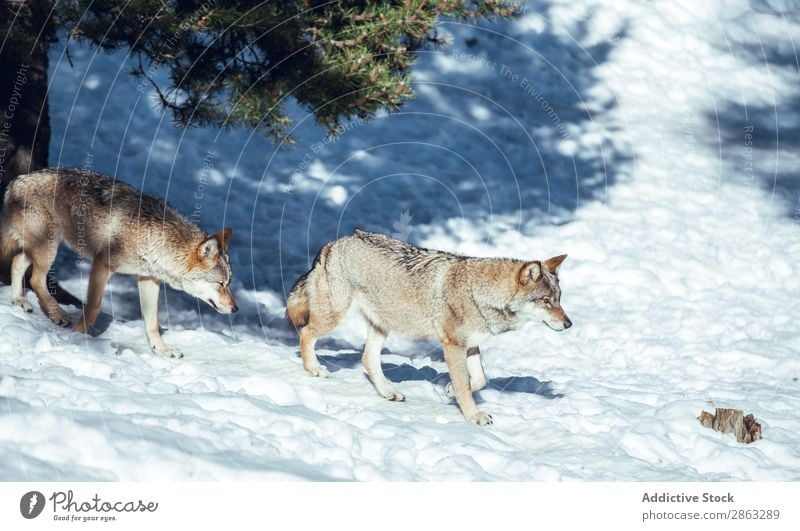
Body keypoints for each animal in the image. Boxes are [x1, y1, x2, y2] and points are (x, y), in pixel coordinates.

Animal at [0, 168, 238, 360]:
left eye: (229, 283)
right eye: (220, 284)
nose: (235, 309)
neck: (154, 238)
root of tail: (16, 181)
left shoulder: (148, 279)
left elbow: (152, 321)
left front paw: (161, 349)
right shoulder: (102, 264)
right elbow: (94, 308)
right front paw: (77, 337)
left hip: (40, 247)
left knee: (16, 263)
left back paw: (19, 300)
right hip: (48, 248)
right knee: (35, 278)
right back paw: (58, 314)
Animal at [284, 231, 572, 426]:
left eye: (559, 298)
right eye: (546, 301)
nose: (569, 324)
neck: (479, 291)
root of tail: (333, 243)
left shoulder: (470, 344)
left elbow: (479, 379)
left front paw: (450, 390)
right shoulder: (452, 345)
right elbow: (466, 385)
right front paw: (474, 416)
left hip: (382, 326)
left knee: (367, 360)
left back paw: (389, 393)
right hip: (335, 317)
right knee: (306, 333)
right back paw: (314, 369)